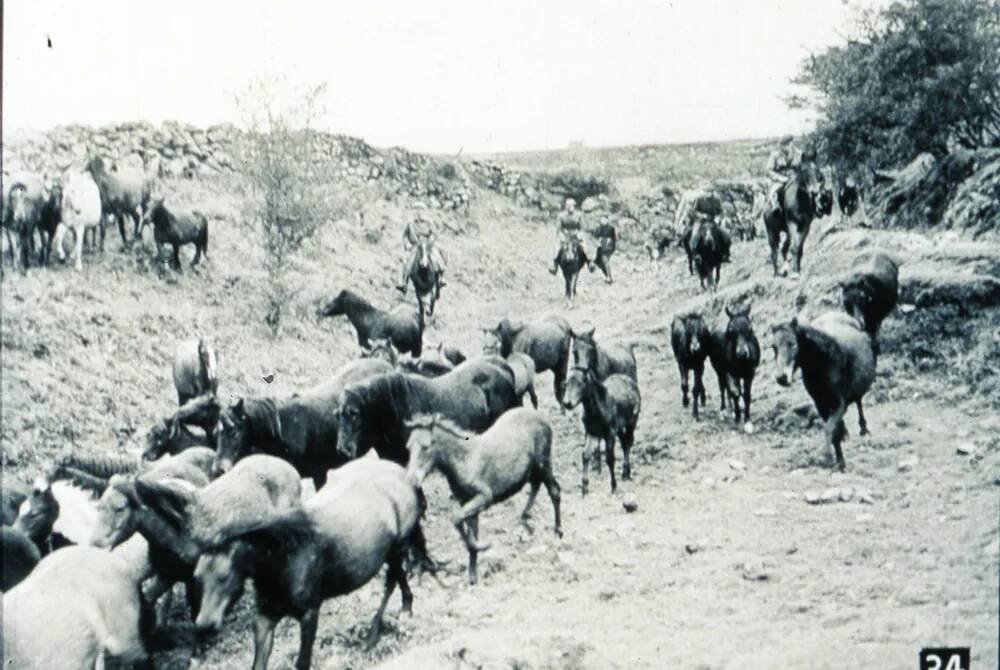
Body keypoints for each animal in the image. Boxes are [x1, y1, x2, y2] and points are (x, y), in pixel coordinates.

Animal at [406, 410, 564, 584]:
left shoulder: (484, 498)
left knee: (554, 491)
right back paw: (526, 519)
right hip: (533, 469)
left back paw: (558, 532)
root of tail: (541, 417)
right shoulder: (468, 502)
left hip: (543, 464)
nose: (411, 480)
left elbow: (456, 517)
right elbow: (470, 530)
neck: (465, 460)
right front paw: (473, 577)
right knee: (535, 484)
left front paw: (483, 546)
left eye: (426, 446)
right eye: (409, 447)